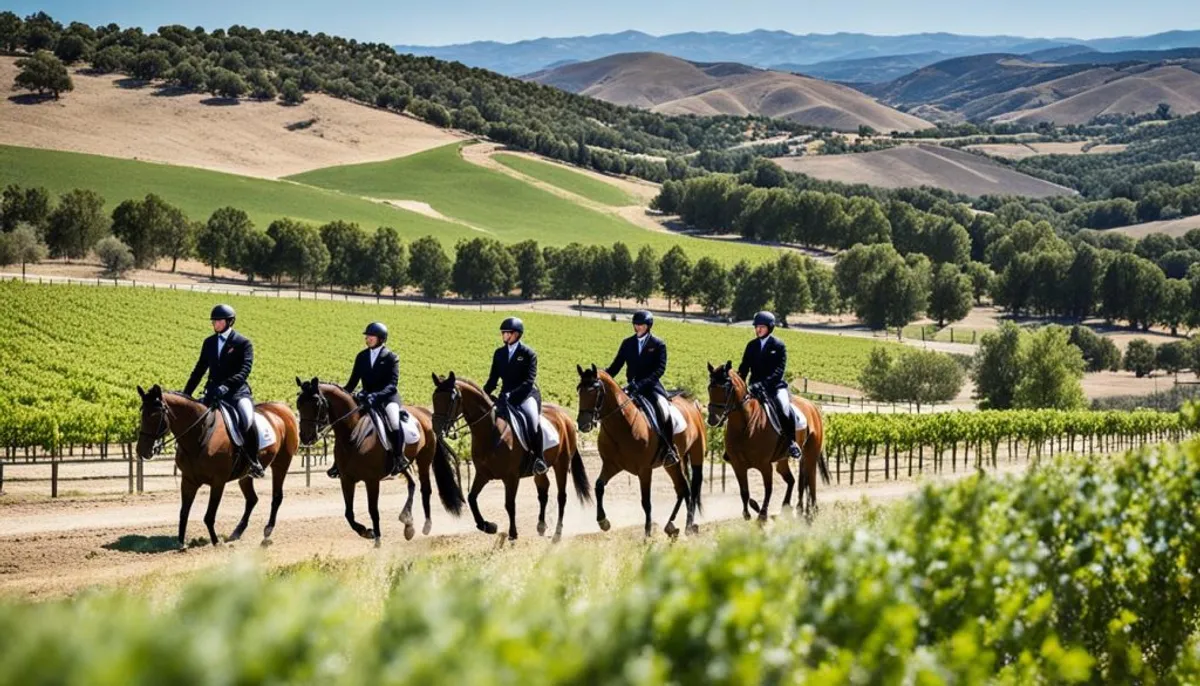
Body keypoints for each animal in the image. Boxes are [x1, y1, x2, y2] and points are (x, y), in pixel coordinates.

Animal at [136, 383, 300, 549]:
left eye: (155, 415)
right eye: (142, 413)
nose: (142, 451)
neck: (200, 435)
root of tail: (283, 409)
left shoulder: (218, 482)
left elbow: (209, 516)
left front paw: (215, 542)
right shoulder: (188, 481)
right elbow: (183, 512)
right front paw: (181, 543)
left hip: (281, 464)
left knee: (276, 497)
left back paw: (267, 531)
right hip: (245, 475)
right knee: (252, 499)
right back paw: (236, 533)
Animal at [295, 374, 463, 546]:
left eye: (316, 403)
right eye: (299, 404)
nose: (305, 437)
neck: (353, 434)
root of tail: (426, 414)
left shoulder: (372, 480)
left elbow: (373, 510)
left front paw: (377, 540)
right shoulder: (346, 480)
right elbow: (348, 513)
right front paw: (366, 532)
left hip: (424, 459)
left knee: (425, 489)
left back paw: (426, 525)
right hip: (403, 465)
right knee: (412, 483)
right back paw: (408, 523)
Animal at [432, 371, 590, 544]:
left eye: (451, 399)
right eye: (434, 398)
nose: (436, 428)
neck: (492, 431)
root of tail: (564, 416)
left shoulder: (511, 477)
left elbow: (509, 504)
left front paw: (513, 533)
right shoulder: (483, 474)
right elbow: (472, 497)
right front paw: (487, 526)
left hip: (561, 463)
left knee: (561, 496)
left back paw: (557, 533)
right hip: (540, 470)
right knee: (543, 491)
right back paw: (541, 526)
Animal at [571, 366, 700, 539]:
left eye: (594, 391)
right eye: (579, 390)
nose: (583, 424)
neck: (622, 424)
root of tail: (690, 403)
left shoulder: (644, 470)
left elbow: (646, 502)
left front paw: (647, 534)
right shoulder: (611, 465)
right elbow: (599, 486)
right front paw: (603, 521)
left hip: (683, 457)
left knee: (687, 488)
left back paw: (686, 526)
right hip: (672, 464)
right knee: (682, 489)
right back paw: (673, 526)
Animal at [705, 362, 830, 522]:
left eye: (726, 389)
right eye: (710, 387)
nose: (712, 419)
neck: (745, 426)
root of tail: (812, 406)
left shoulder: (765, 465)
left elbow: (768, 489)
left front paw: (762, 515)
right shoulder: (737, 465)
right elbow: (744, 491)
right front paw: (749, 511)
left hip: (810, 454)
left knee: (811, 479)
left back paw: (811, 511)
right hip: (783, 460)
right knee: (793, 480)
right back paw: (790, 508)